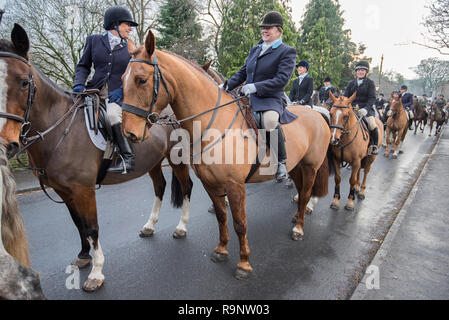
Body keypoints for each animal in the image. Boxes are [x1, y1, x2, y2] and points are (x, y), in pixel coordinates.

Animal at [0, 22, 192, 292]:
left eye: (24, 82)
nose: (6, 143)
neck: (60, 128)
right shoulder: (64, 190)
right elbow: (78, 223)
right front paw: (83, 256)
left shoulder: (83, 190)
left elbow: (92, 227)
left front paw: (96, 272)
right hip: (153, 162)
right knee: (160, 187)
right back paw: (149, 225)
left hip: (178, 159)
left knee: (186, 187)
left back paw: (181, 227)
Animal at [121, 30, 330, 280]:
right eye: (122, 79)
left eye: (141, 80)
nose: (129, 133)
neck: (213, 123)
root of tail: (317, 114)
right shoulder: (210, 183)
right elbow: (222, 216)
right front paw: (221, 250)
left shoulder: (235, 185)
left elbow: (240, 223)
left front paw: (244, 264)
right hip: (296, 167)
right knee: (300, 190)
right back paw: (296, 217)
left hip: (310, 167)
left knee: (307, 193)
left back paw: (299, 227)